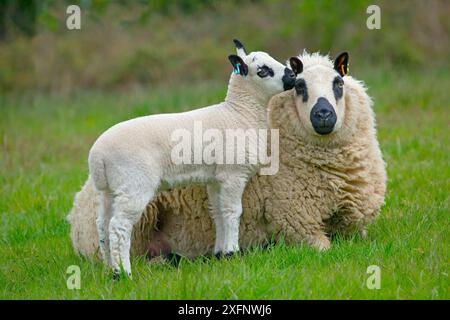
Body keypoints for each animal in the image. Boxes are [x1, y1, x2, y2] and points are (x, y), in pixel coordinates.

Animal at [67, 50, 386, 260]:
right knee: (120, 229)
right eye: (300, 87)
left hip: (110, 193)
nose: (323, 116)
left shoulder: (216, 178)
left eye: (338, 83)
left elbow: (220, 213)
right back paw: (125, 272)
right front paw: (231, 252)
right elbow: (235, 213)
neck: (238, 113)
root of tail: (96, 157)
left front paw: (222, 251)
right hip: (136, 192)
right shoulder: (289, 217)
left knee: (104, 226)